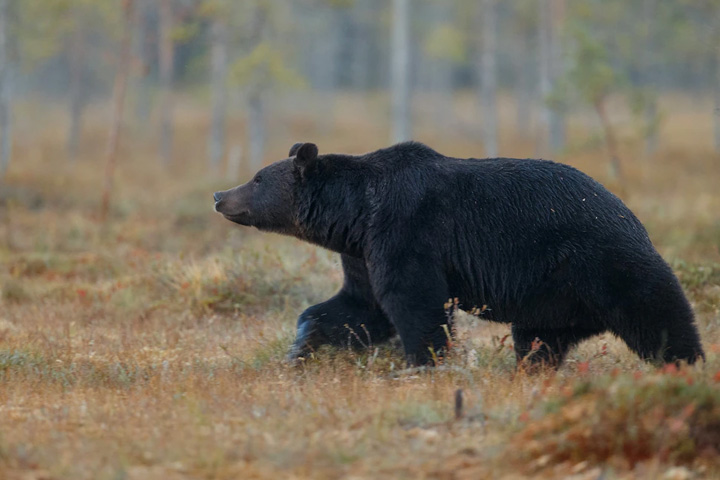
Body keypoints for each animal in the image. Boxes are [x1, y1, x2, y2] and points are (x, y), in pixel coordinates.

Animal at [212, 142, 704, 368]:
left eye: (257, 178)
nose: (219, 194)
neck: (356, 213)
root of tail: (631, 214)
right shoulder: (363, 251)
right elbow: (359, 307)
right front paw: (301, 346)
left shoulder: (407, 230)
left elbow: (414, 302)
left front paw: (422, 364)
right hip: (550, 298)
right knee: (538, 341)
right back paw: (530, 371)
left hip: (600, 259)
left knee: (657, 311)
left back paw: (686, 364)